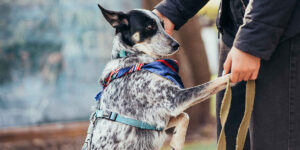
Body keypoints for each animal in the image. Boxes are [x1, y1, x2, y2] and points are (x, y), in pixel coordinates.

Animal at [82, 4, 232, 150]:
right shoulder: (174, 100)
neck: (133, 58)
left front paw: (176, 141)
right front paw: (234, 72)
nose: (176, 45)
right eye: (149, 26)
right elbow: (215, 81)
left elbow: (185, 116)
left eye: (163, 25)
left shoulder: (162, 119)